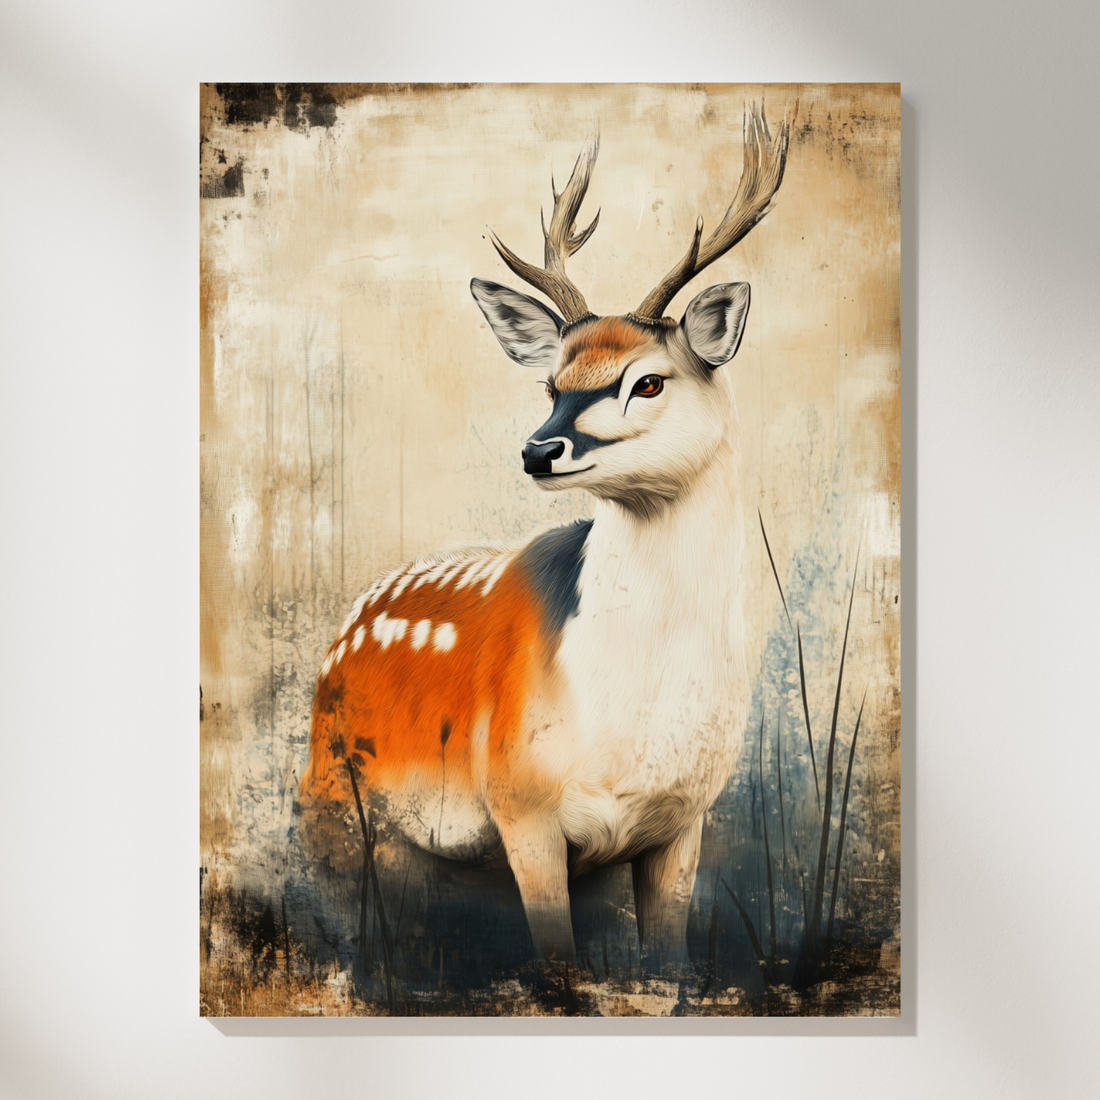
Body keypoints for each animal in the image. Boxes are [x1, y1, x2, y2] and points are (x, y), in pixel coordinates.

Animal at [299, 103, 791, 970]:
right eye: (551, 383)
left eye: (648, 380)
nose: (538, 450)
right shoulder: (520, 800)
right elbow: (556, 968)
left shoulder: (685, 819)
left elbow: (668, 973)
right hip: (331, 802)